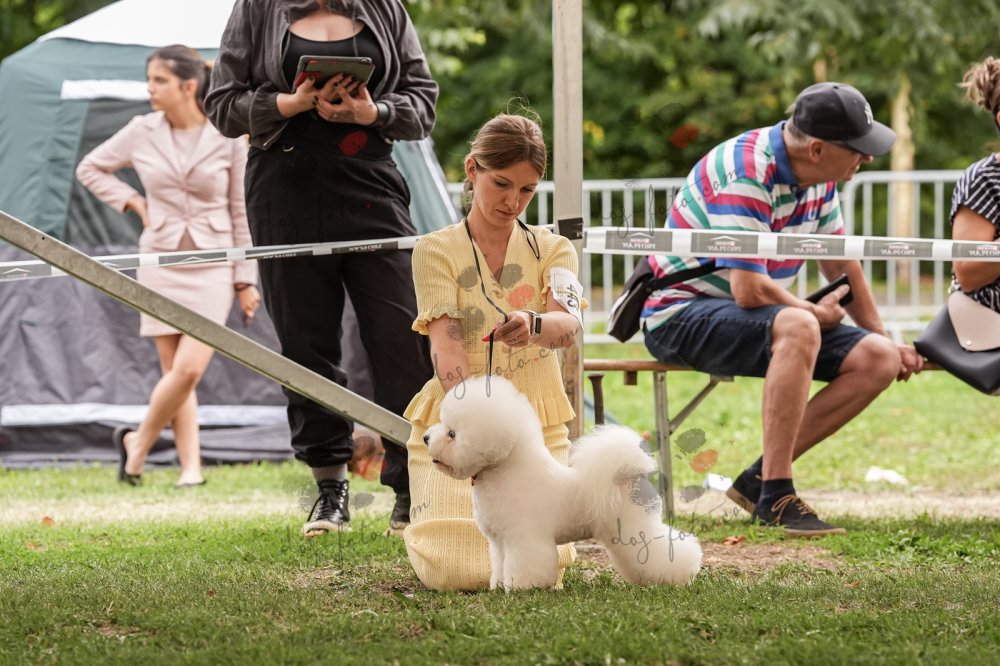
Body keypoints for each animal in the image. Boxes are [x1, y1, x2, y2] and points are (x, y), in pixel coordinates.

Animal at [423, 376, 702, 591]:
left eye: (452, 434)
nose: (425, 438)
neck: (507, 472)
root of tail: (634, 473)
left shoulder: (524, 537)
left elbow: (525, 565)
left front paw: (521, 587)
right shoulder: (500, 542)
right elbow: (501, 564)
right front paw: (500, 585)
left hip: (634, 528)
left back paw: (679, 575)